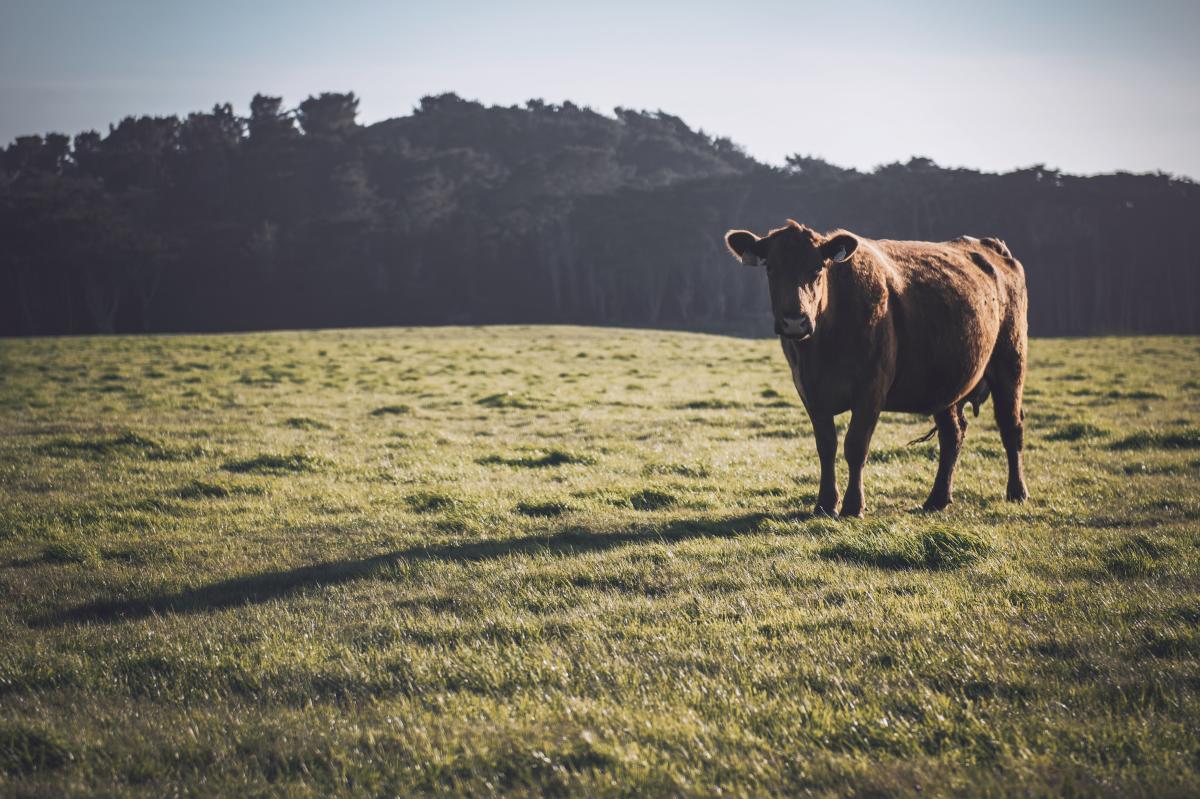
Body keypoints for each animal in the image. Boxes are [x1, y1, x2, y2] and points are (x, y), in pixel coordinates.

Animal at [724, 219, 1027, 515]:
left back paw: (1017, 492)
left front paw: (853, 505)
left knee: (1010, 427)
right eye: (771, 268)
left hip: (1010, 363)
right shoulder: (810, 393)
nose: (795, 321)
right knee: (952, 434)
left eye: (818, 268)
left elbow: (855, 446)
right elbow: (826, 446)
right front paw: (824, 503)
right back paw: (937, 499)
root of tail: (991, 247)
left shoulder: (871, 389)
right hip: (945, 386)